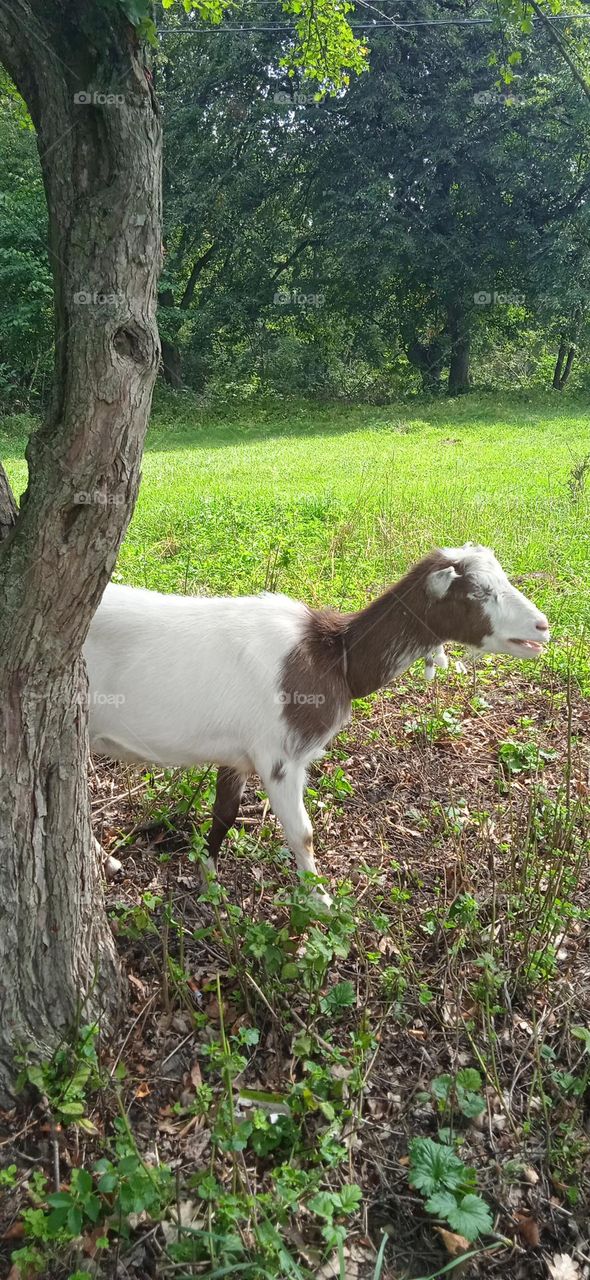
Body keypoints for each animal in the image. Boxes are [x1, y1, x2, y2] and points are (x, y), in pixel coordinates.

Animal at [85, 543, 550, 902]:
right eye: (477, 593)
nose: (542, 626)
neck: (334, 655)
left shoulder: (238, 755)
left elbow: (224, 815)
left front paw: (209, 879)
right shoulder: (281, 757)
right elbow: (302, 833)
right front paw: (320, 899)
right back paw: (105, 862)